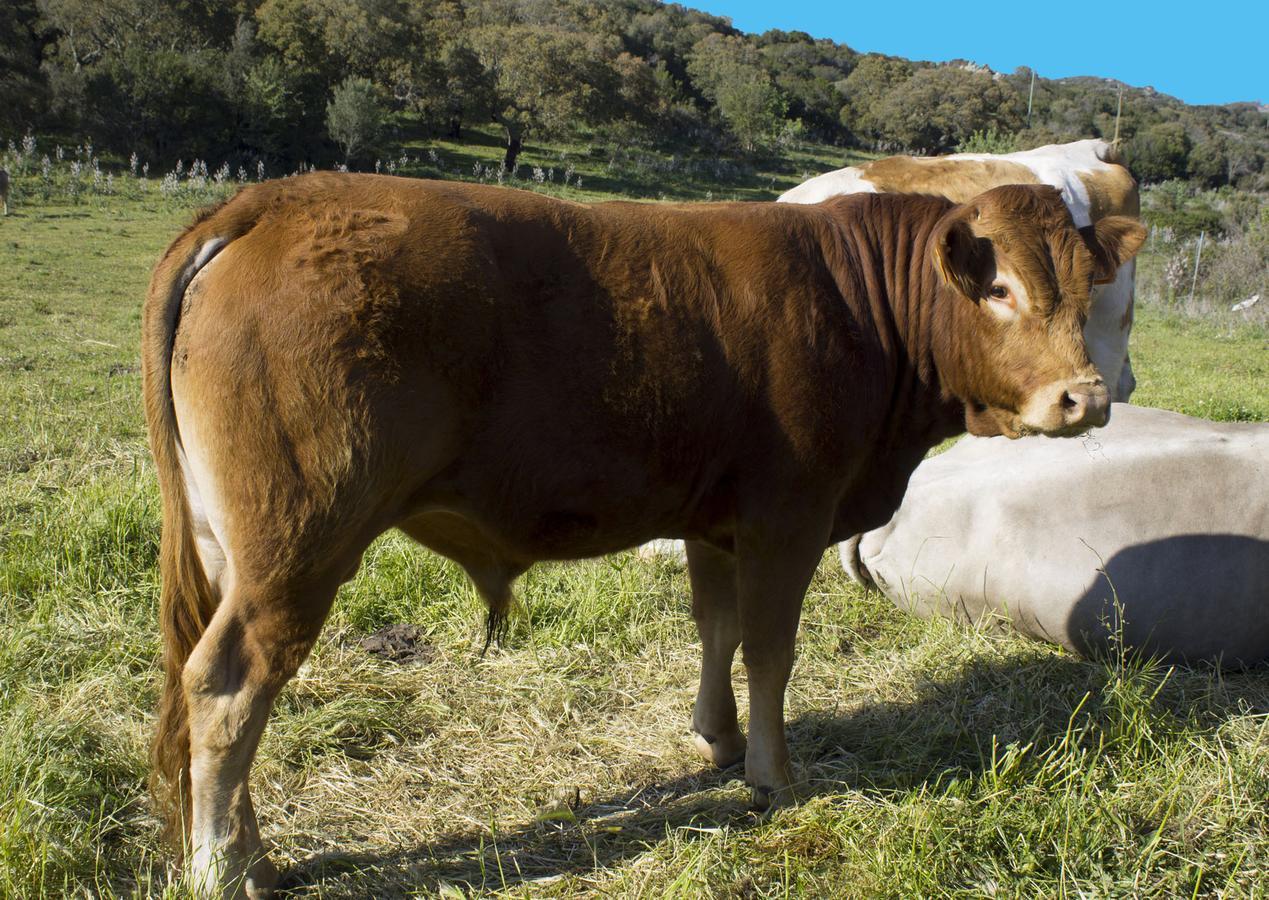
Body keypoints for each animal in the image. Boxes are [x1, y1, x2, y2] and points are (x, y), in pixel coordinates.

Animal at [144, 173, 1147, 893]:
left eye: (1086, 289)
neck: (859, 307)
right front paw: (774, 774)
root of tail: (270, 201)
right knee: (230, 686)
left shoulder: (716, 520)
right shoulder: (787, 516)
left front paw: (718, 740)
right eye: (1001, 288)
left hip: (230, 549)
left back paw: (254, 854)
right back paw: (224, 868)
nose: (1084, 398)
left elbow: (717, 631)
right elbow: (770, 649)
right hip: (300, 544)